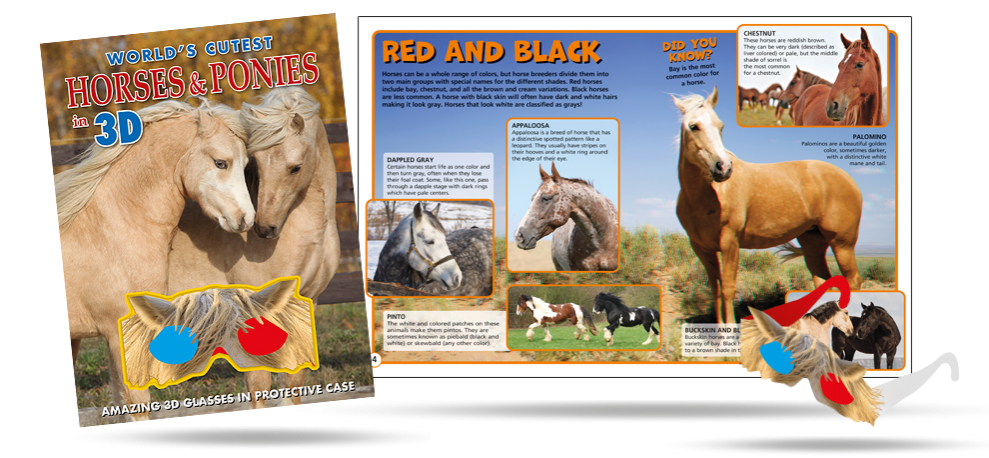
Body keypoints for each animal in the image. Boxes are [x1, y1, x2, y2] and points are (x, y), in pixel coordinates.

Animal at [166, 87, 341, 408]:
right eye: (256, 164)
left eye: (295, 167)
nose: (263, 228)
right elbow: (259, 381)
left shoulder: (306, 301)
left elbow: (293, 379)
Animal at [672, 87, 863, 324]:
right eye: (693, 126)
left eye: (720, 126)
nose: (723, 167)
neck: (706, 196)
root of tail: (849, 179)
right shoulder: (701, 247)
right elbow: (714, 289)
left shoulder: (729, 242)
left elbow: (727, 288)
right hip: (813, 243)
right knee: (822, 281)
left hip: (843, 243)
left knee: (853, 281)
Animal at [742, 306, 960, 426]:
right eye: (861, 317)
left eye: (869, 317)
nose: (858, 333)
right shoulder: (877, 352)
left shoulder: (891, 353)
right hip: (840, 348)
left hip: (850, 350)